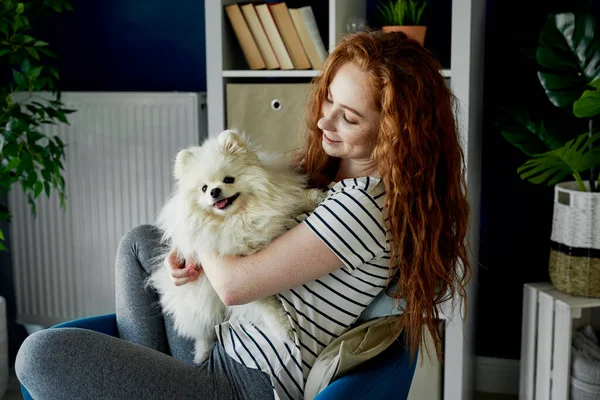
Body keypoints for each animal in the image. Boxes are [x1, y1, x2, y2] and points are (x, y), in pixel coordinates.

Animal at [146, 130, 324, 364]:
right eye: (204, 188)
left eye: (228, 179)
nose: (214, 191)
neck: (239, 218)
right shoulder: (240, 281)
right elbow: (266, 305)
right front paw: (283, 328)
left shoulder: (277, 200)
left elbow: (291, 199)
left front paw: (316, 196)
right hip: (198, 302)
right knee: (203, 332)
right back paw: (201, 354)